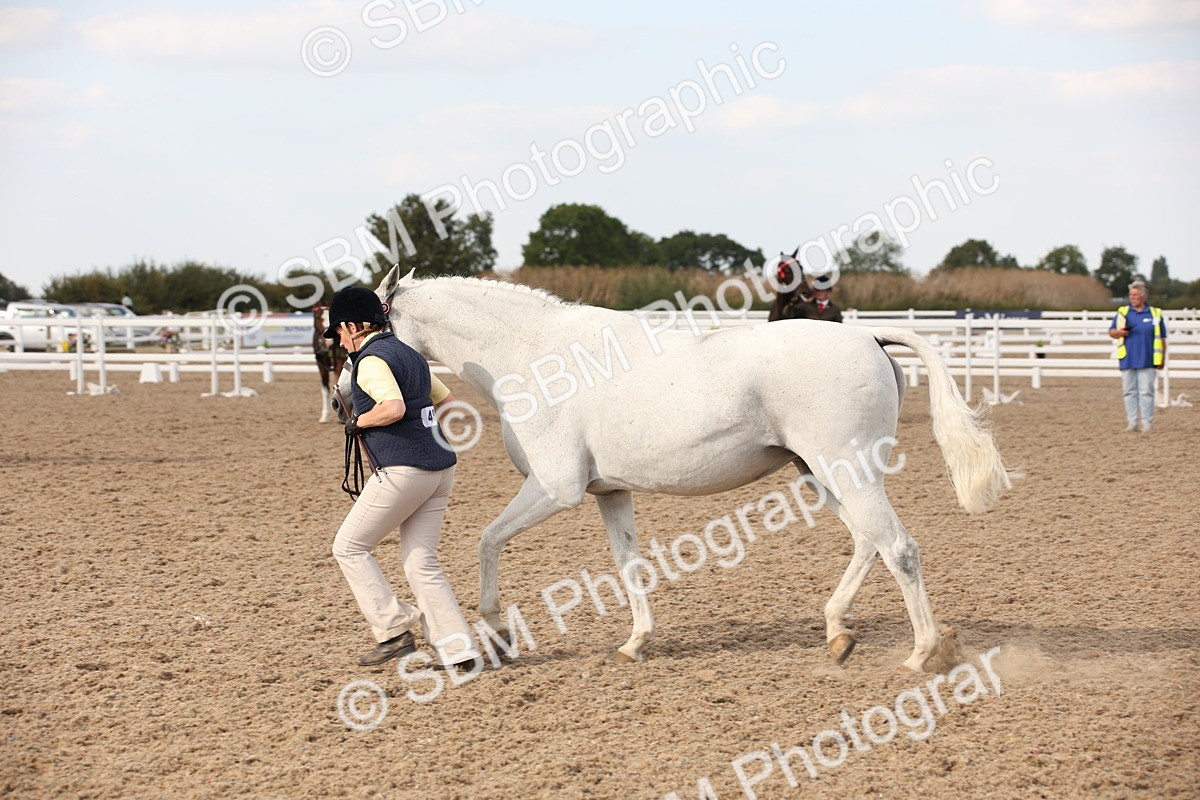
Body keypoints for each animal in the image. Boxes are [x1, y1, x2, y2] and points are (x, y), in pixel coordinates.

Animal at [354, 266, 1013, 672]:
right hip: (820, 474)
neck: (534, 354)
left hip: (846, 470)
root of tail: (869, 338)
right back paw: (837, 633)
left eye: (360, 334)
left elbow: (487, 543)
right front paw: (635, 643)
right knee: (867, 542)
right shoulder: (610, 492)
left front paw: (497, 633)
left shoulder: (555, 489)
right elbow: (629, 565)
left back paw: (920, 654)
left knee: (898, 547)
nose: (345, 395)